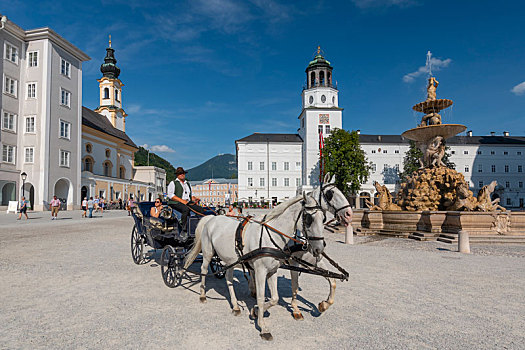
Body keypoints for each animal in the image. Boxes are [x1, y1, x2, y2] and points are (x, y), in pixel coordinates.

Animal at [183, 193, 324, 340]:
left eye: (323, 218)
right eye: (309, 218)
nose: (319, 249)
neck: (270, 236)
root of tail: (211, 218)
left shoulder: (272, 271)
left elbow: (274, 298)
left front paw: (255, 311)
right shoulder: (260, 271)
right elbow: (261, 298)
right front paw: (263, 327)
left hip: (229, 260)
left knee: (229, 279)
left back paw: (235, 306)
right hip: (208, 253)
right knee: (204, 270)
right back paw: (202, 295)